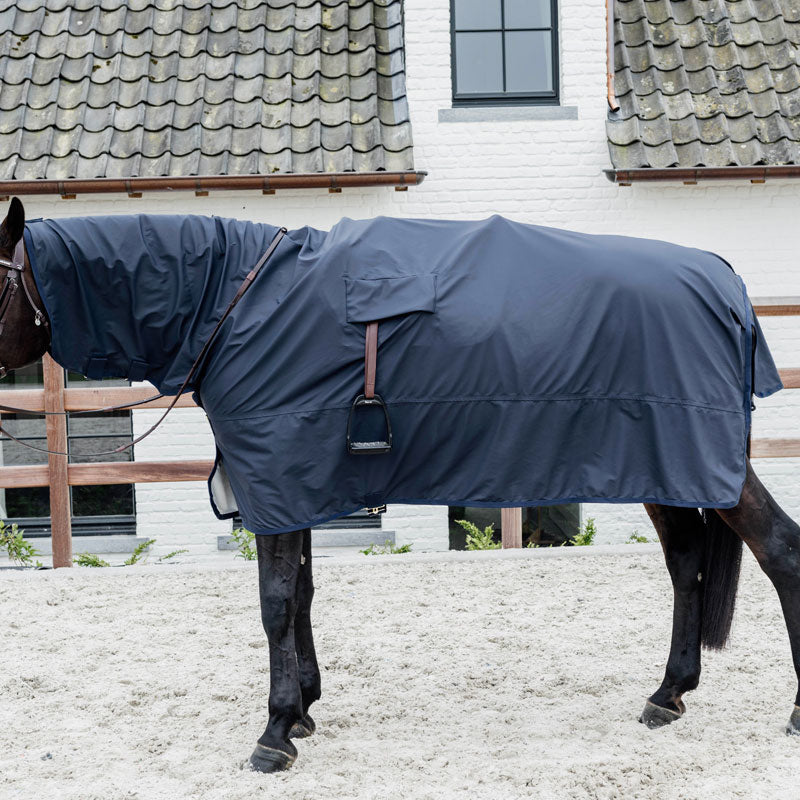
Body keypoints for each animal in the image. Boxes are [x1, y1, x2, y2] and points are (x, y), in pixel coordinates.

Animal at [1, 196, 799, 774]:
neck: (238, 303)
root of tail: (725, 281)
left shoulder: (276, 482)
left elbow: (274, 604)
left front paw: (274, 731)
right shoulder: (294, 485)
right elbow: (302, 597)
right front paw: (305, 709)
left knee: (780, 552)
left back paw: (790, 710)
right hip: (666, 466)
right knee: (688, 565)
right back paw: (668, 694)